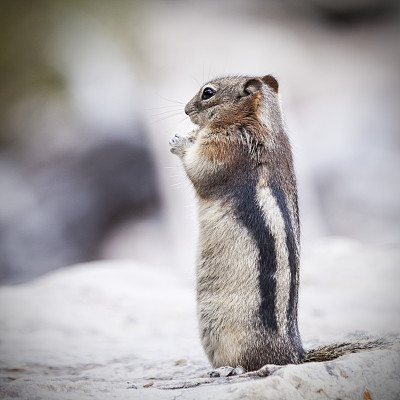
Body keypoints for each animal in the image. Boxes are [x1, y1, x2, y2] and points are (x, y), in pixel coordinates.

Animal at [170, 73, 390, 370]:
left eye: (208, 93)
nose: (185, 110)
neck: (262, 121)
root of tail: (294, 355)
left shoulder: (227, 148)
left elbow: (200, 169)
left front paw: (181, 141)